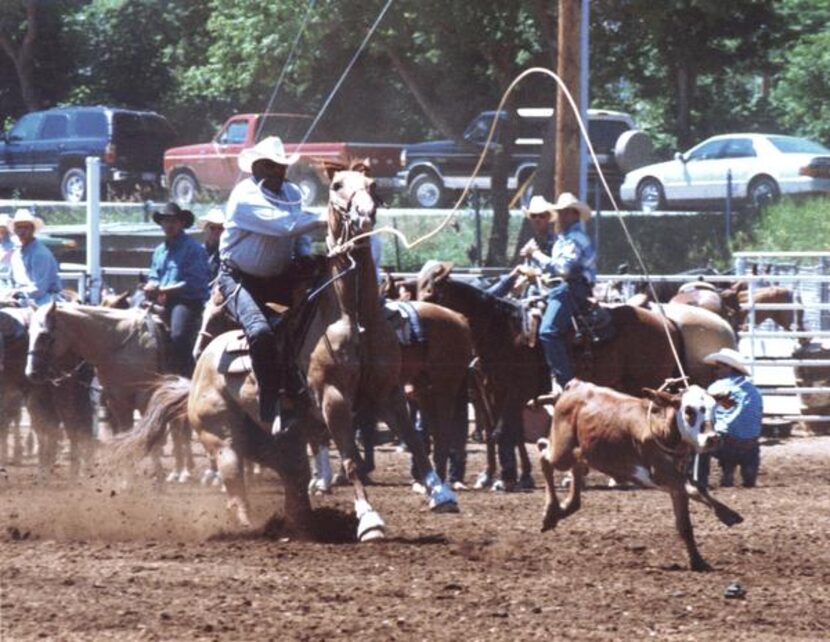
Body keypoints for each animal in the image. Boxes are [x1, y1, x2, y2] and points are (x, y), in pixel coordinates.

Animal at [540, 380, 748, 568]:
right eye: (689, 410)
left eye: (715, 408)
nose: (712, 439)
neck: (661, 429)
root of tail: (575, 386)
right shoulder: (663, 476)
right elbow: (687, 514)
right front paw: (698, 561)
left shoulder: (673, 481)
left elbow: (693, 497)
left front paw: (726, 516)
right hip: (562, 452)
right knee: (544, 456)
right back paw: (550, 512)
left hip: (581, 452)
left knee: (575, 467)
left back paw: (564, 509)